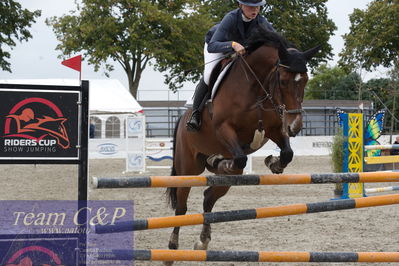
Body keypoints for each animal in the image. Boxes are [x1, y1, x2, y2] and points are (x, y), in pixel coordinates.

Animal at [164, 25, 320, 264]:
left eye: (305, 80)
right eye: (283, 80)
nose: (295, 126)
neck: (257, 88)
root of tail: (182, 119)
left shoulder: (275, 129)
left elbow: (287, 153)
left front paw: (273, 163)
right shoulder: (224, 128)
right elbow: (240, 157)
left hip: (225, 177)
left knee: (209, 197)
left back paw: (203, 240)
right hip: (187, 167)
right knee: (181, 207)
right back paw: (172, 249)